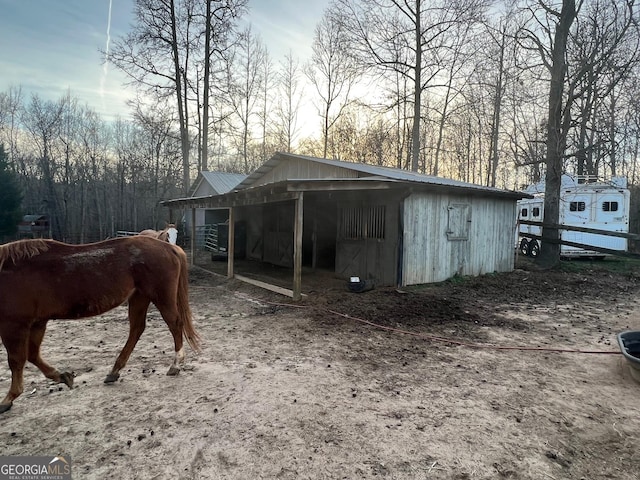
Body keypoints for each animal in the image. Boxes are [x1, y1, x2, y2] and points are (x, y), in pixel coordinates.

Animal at [0, 236, 200, 412]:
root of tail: (169, 247)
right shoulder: (37, 322)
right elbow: (33, 355)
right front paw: (63, 376)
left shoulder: (14, 325)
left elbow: (16, 360)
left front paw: (8, 399)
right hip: (139, 297)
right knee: (137, 329)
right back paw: (114, 371)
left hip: (160, 296)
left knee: (174, 324)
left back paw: (175, 365)